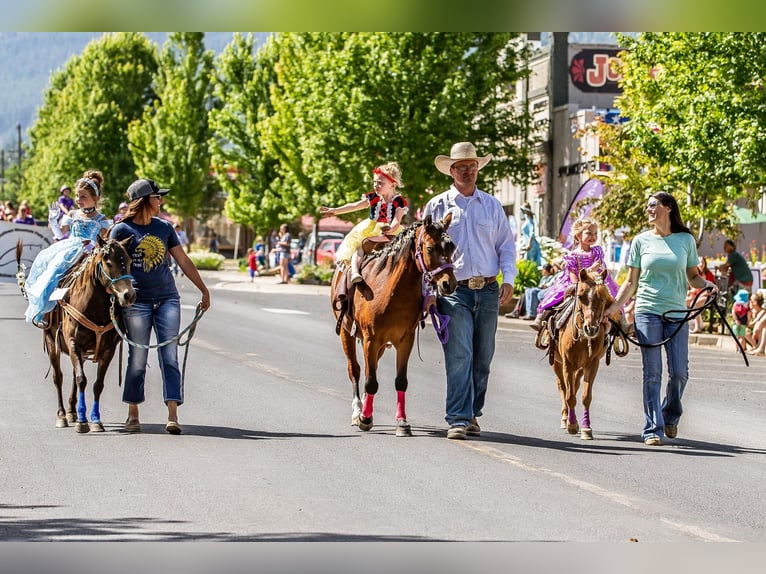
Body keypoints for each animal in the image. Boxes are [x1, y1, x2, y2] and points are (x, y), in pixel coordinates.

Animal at [17, 236, 136, 434]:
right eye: (108, 263)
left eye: (128, 261)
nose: (129, 295)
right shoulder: (74, 344)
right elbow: (81, 379)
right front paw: (82, 422)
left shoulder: (108, 350)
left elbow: (97, 384)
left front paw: (95, 420)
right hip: (52, 343)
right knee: (58, 377)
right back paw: (62, 415)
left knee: (73, 376)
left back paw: (72, 411)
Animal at [330, 215, 456, 436]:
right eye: (430, 248)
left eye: (452, 247)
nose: (449, 284)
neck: (391, 290)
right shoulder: (371, 339)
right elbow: (371, 381)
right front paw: (365, 418)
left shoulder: (405, 340)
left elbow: (400, 381)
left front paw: (402, 422)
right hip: (348, 333)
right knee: (355, 369)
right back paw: (358, 410)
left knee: (369, 369)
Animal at [544, 268, 624, 440]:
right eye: (580, 296)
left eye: (602, 298)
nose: (591, 329)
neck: (582, 337)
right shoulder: (567, 363)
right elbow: (569, 395)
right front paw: (572, 425)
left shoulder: (592, 364)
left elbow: (585, 396)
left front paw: (586, 428)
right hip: (557, 364)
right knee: (563, 387)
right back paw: (565, 418)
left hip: (579, 368)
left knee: (575, 385)